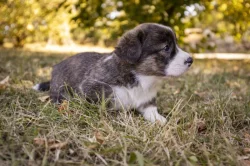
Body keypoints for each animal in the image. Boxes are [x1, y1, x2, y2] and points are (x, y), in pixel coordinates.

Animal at [33, 23, 193, 124]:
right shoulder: (91, 89)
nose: (191, 60)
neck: (142, 78)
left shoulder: (147, 98)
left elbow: (151, 108)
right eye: (166, 47)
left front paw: (158, 118)